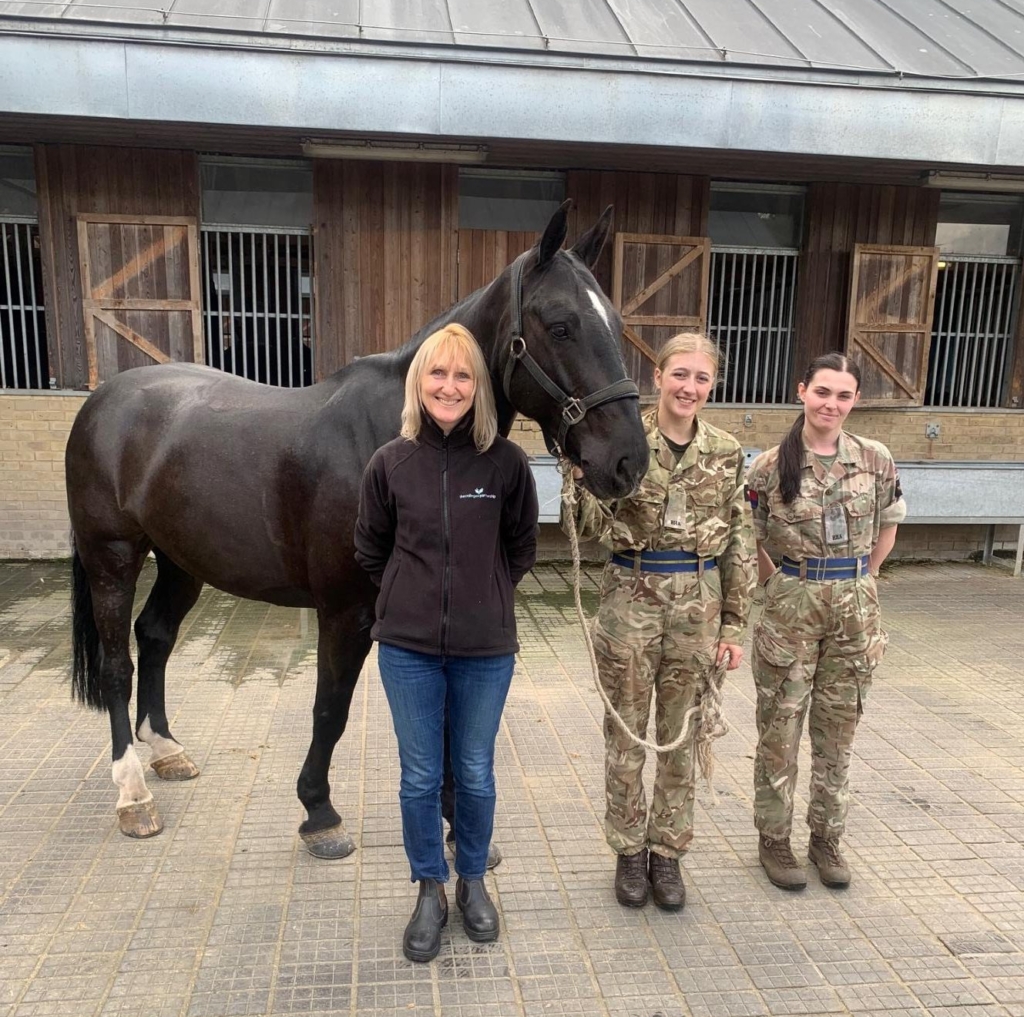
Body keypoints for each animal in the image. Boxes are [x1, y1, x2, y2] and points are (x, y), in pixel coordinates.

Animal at [64, 202, 643, 852]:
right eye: (563, 326)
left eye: (616, 322)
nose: (629, 460)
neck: (401, 435)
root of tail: (104, 401)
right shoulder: (345, 610)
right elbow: (330, 708)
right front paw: (319, 811)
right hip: (112, 557)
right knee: (117, 666)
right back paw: (133, 794)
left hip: (181, 561)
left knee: (156, 636)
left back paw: (166, 750)